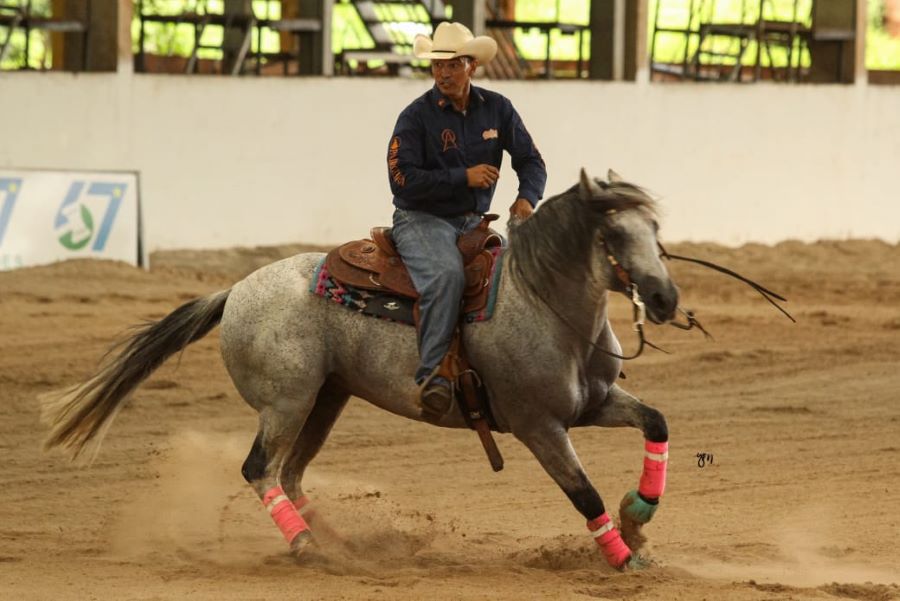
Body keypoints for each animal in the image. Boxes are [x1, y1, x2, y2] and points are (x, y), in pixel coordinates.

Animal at [40, 168, 676, 568]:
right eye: (614, 232)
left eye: (656, 229)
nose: (665, 298)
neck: (543, 302)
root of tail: (235, 290)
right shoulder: (538, 426)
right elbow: (584, 494)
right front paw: (624, 559)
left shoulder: (593, 404)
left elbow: (656, 422)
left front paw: (638, 517)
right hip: (287, 402)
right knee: (259, 470)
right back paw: (306, 548)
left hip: (326, 399)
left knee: (292, 474)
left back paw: (345, 546)